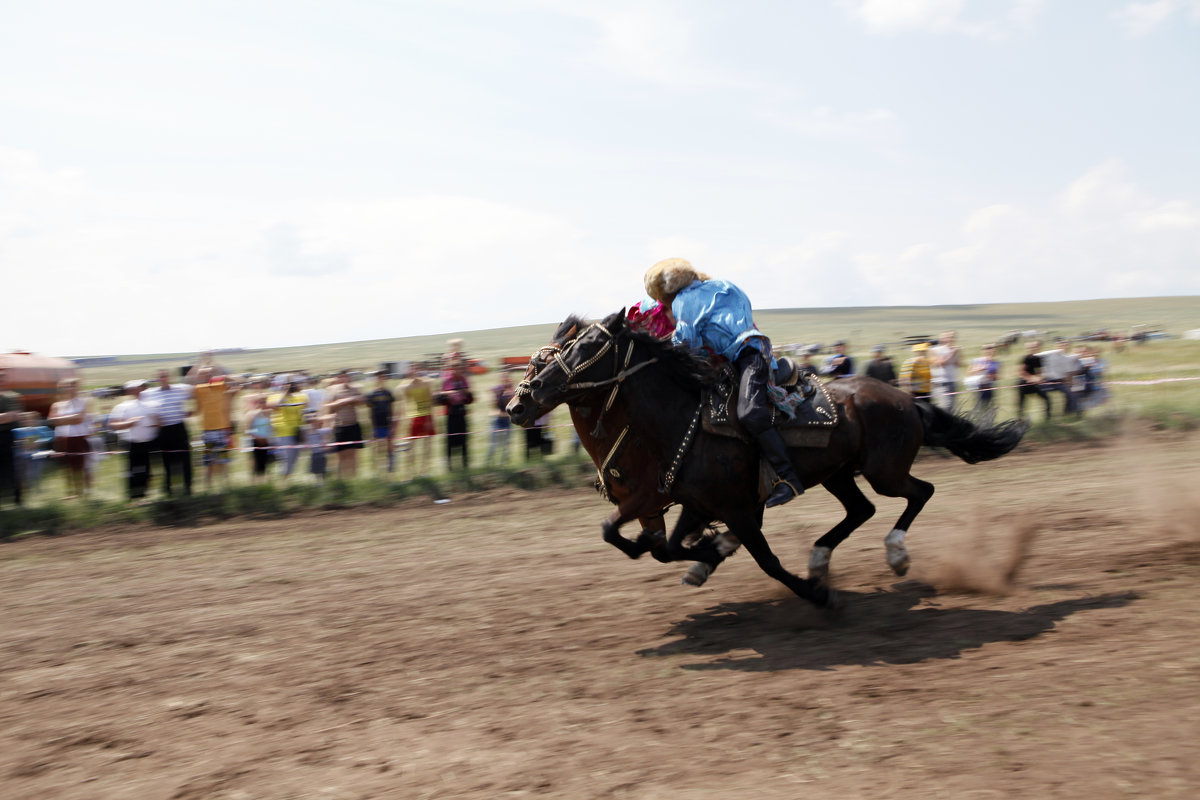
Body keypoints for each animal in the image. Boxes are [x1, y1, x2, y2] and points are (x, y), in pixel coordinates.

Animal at [506, 311, 1022, 606]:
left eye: (588, 347)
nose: (520, 403)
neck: (678, 421)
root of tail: (906, 399)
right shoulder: (692, 503)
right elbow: (665, 546)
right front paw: (710, 554)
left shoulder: (735, 508)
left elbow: (766, 561)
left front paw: (815, 595)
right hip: (839, 474)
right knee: (863, 509)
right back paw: (820, 558)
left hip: (884, 471)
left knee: (919, 492)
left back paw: (893, 554)